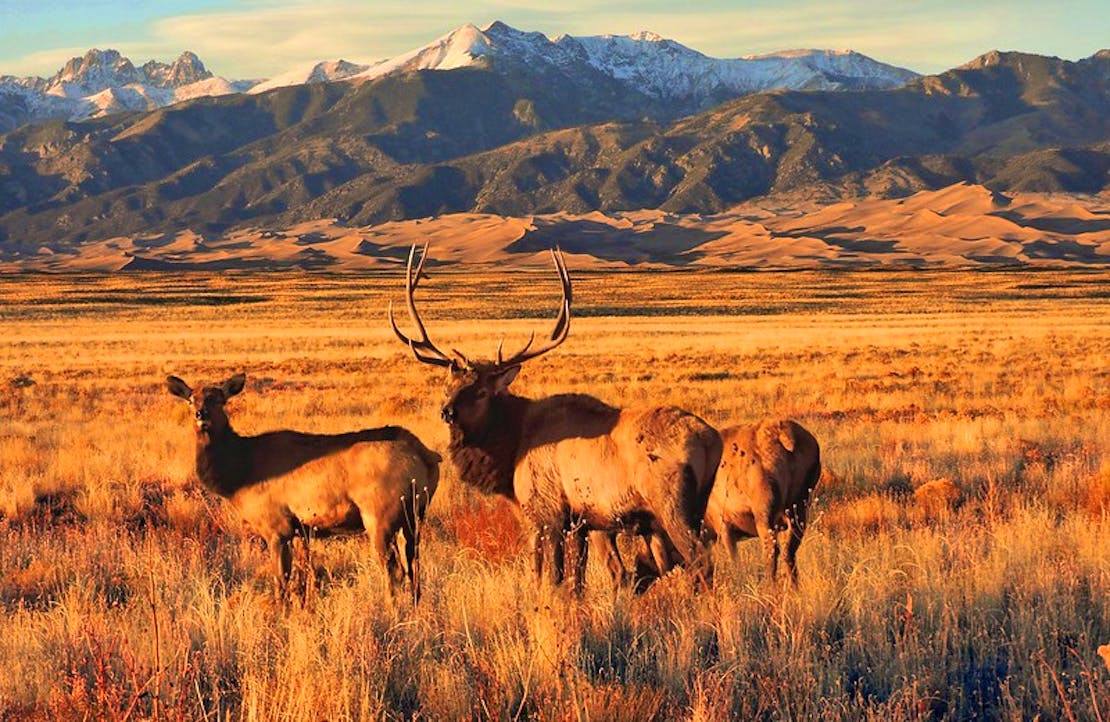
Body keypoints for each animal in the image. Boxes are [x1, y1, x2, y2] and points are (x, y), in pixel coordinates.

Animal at [166, 373, 439, 599]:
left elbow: (281, 584)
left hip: (380, 516)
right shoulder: (300, 530)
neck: (238, 474)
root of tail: (426, 456)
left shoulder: (277, 527)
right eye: (190, 400)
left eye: (219, 399)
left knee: (395, 571)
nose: (201, 415)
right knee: (414, 569)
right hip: (414, 518)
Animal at [388, 245, 719, 590]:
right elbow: (576, 581)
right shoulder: (581, 522)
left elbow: (550, 576)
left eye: (481, 392)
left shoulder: (548, 512)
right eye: (448, 386)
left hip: (671, 504)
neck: (511, 453)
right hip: (697, 504)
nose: (447, 412)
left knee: (700, 559)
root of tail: (711, 440)